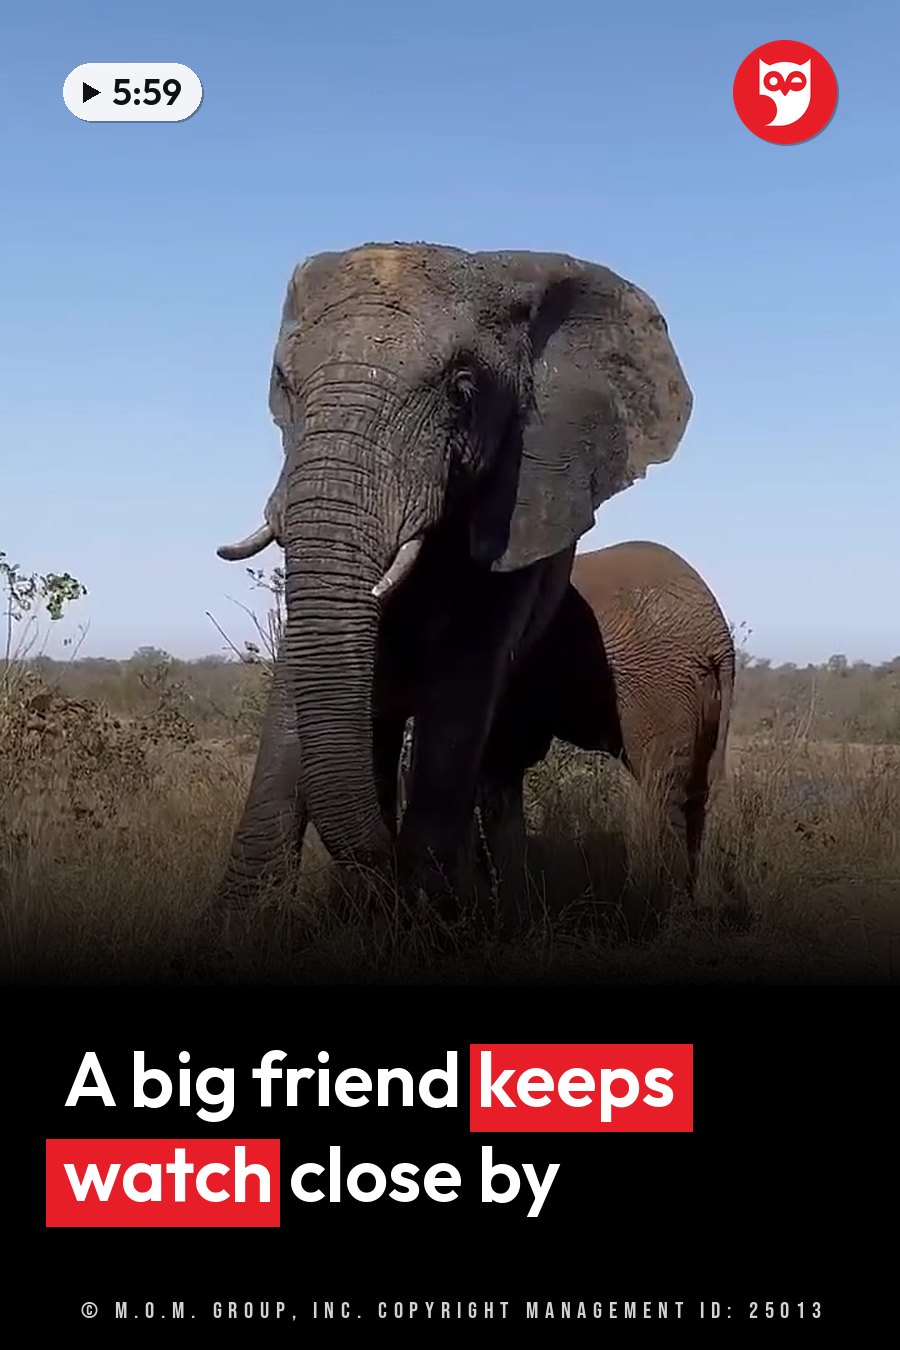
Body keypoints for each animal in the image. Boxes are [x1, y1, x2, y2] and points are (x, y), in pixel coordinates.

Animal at [213, 243, 692, 924]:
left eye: (462, 394)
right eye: (284, 386)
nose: (383, 868)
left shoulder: (522, 503)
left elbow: (463, 687)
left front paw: (432, 920)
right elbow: (297, 687)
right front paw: (241, 920)